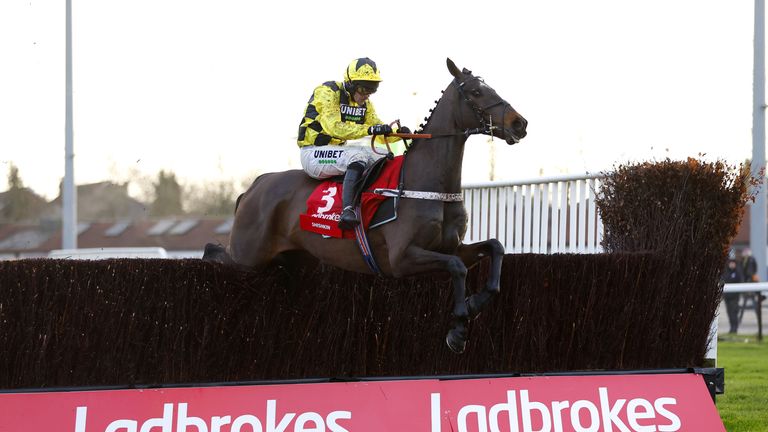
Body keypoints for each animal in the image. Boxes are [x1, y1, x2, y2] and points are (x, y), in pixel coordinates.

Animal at [204, 58, 528, 354]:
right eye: (476, 92)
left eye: (491, 88)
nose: (519, 123)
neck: (427, 183)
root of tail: (255, 186)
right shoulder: (401, 258)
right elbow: (457, 267)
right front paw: (459, 327)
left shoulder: (450, 247)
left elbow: (494, 248)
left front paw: (473, 304)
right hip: (248, 256)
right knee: (216, 253)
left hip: (297, 260)